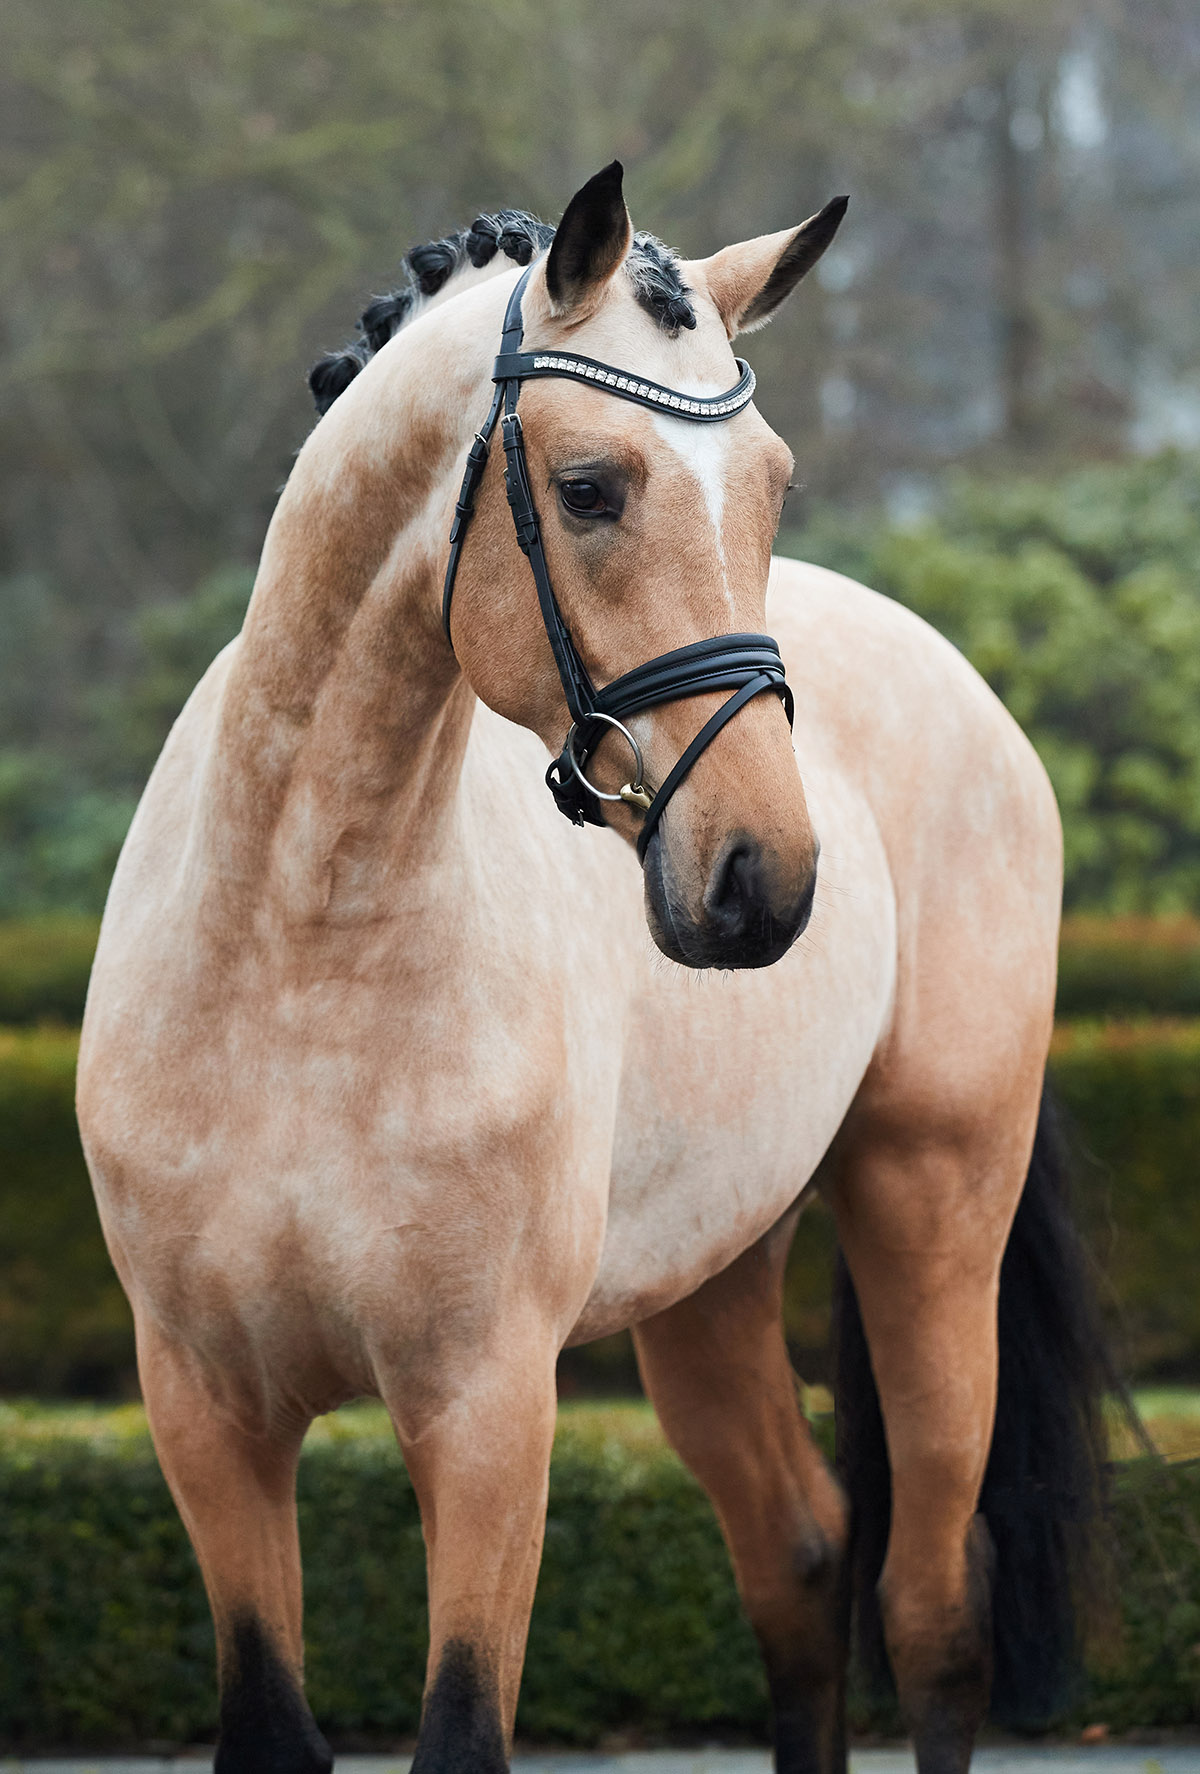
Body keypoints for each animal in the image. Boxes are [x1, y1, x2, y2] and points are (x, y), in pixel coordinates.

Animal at [75, 166, 1107, 1774]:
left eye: (771, 483)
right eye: (589, 489)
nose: (762, 875)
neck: (298, 958)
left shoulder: (487, 1409)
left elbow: (461, 1730)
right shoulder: (205, 1413)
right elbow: (269, 1725)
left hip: (934, 1208)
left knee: (932, 1608)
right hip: (711, 1283)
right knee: (801, 1554)